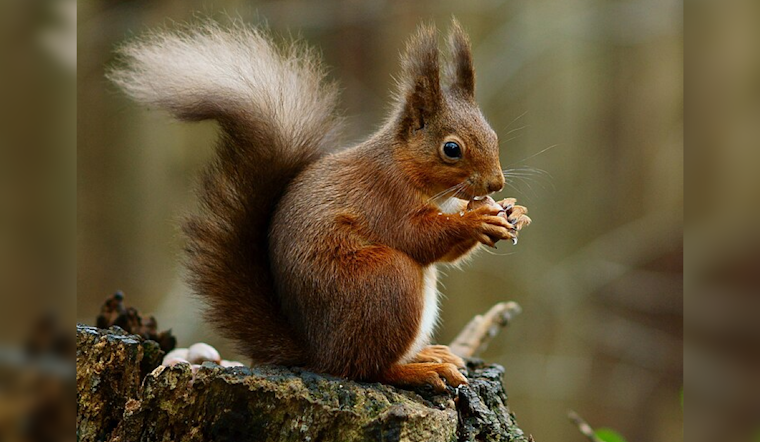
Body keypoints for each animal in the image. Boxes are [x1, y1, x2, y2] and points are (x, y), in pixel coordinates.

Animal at [109, 19, 531, 392]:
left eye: (492, 134)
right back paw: (418, 370)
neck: (406, 169)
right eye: (451, 149)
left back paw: (428, 355)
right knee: (365, 368)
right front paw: (477, 220)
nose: (496, 183)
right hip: (384, 281)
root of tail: (318, 353)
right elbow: (419, 237)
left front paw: (514, 211)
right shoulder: (384, 197)